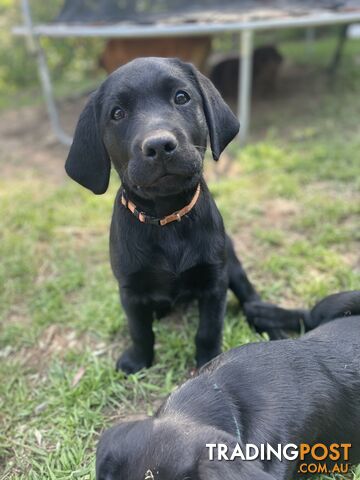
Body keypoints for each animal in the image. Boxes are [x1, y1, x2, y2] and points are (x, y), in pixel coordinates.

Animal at [65, 57, 262, 376]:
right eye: (117, 113)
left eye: (181, 97)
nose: (158, 145)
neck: (167, 219)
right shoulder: (130, 290)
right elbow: (140, 330)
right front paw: (137, 360)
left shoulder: (214, 281)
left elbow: (208, 330)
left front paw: (209, 361)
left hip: (231, 263)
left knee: (247, 290)